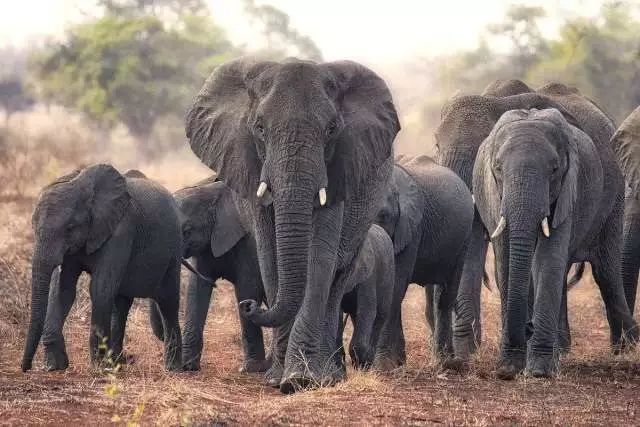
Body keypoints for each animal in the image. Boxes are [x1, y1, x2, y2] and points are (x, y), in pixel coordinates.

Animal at [21, 166, 182, 372]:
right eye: (33, 227)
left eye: (70, 228)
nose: (26, 367)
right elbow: (62, 290)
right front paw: (54, 366)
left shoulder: (121, 230)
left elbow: (100, 289)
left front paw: (98, 367)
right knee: (121, 305)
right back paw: (118, 363)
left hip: (174, 250)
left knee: (168, 302)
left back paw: (174, 367)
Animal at [336, 224, 396, 372]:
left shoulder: (368, 276)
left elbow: (367, 312)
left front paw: (361, 366)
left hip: (389, 276)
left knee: (379, 316)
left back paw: (368, 362)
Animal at [372, 155, 472, 366]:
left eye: (383, 215)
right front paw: (397, 364)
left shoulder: (411, 228)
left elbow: (395, 286)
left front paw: (382, 367)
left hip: (463, 241)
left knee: (445, 296)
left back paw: (445, 361)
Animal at [472, 108, 636, 382]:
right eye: (497, 168)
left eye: (555, 169)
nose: (528, 327)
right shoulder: (493, 196)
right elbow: (506, 262)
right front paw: (510, 368)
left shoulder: (569, 190)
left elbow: (548, 262)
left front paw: (538, 371)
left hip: (614, 198)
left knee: (606, 274)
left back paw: (627, 349)